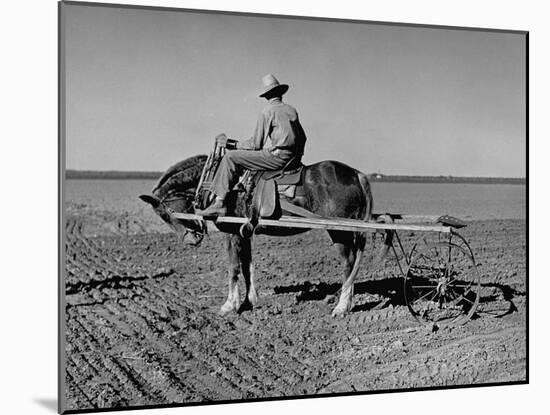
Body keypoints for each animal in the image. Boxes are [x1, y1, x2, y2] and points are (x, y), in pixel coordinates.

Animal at [139, 154, 380, 316]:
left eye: (166, 214)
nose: (191, 240)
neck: (216, 183)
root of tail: (357, 175)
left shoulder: (232, 232)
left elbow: (234, 267)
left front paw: (229, 305)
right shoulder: (245, 233)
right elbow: (247, 266)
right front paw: (249, 301)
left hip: (338, 230)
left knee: (348, 263)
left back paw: (341, 306)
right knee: (354, 261)